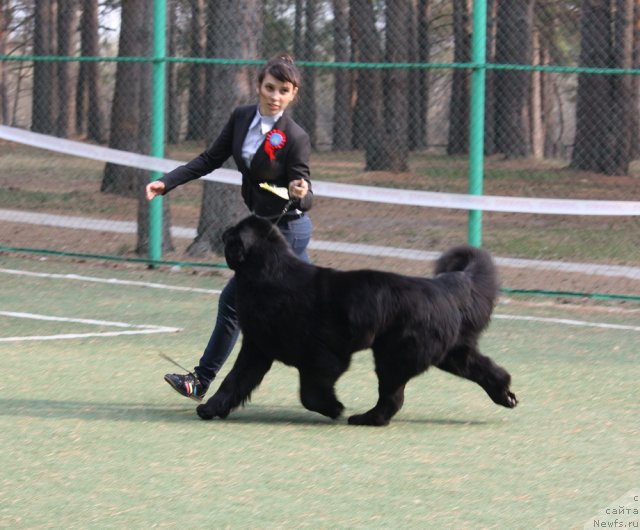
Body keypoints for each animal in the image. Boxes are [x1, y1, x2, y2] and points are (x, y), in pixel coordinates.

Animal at [195, 214, 516, 424]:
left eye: (232, 234)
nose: (223, 231)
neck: (267, 275)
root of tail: (440, 287)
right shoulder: (258, 348)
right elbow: (234, 380)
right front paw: (211, 408)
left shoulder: (323, 356)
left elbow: (309, 392)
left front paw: (334, 408)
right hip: (448, 353)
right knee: (488, 369)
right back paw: (504, 394)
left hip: (395, 356)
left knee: (392, 396)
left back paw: (366, 418)